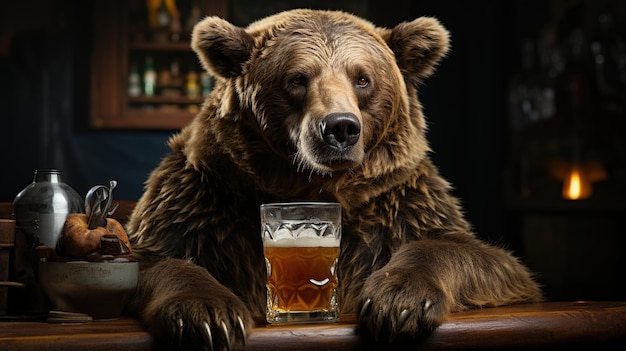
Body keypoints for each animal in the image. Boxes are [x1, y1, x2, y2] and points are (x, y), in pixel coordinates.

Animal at [123, 8, 540, 351]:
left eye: (363, 78)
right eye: (297, 78)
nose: (340, 127)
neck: (313, 185)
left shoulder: (400, 203)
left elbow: (478, 256)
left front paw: (398, 301)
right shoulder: (204, 201)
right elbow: (156, 258)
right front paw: (210, 316)